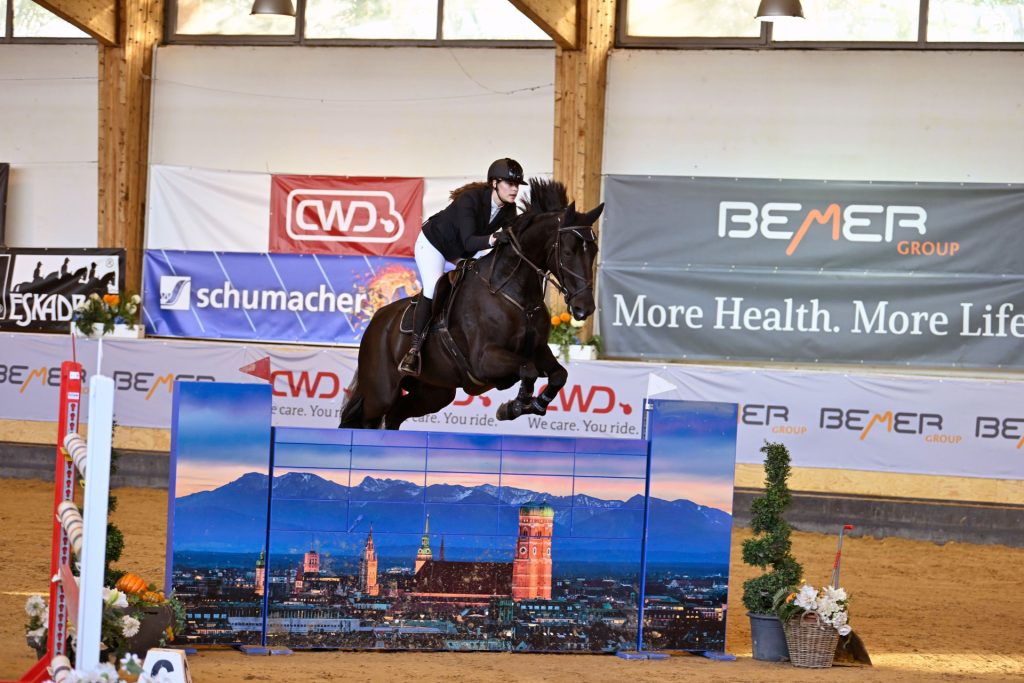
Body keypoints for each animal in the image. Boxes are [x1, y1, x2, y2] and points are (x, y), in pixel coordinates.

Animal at [340, 178, 603, 430]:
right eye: (568, 253)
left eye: (594, 251)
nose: (584, 308)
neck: (515, 293)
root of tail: (377, 320)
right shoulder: (485, 359)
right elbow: (528, 370)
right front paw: (515, 406)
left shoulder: (538, 350)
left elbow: (559, 375)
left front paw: (533, 405)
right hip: (381, 391)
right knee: (364, 419)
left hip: (434, 392)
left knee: (395, 416)